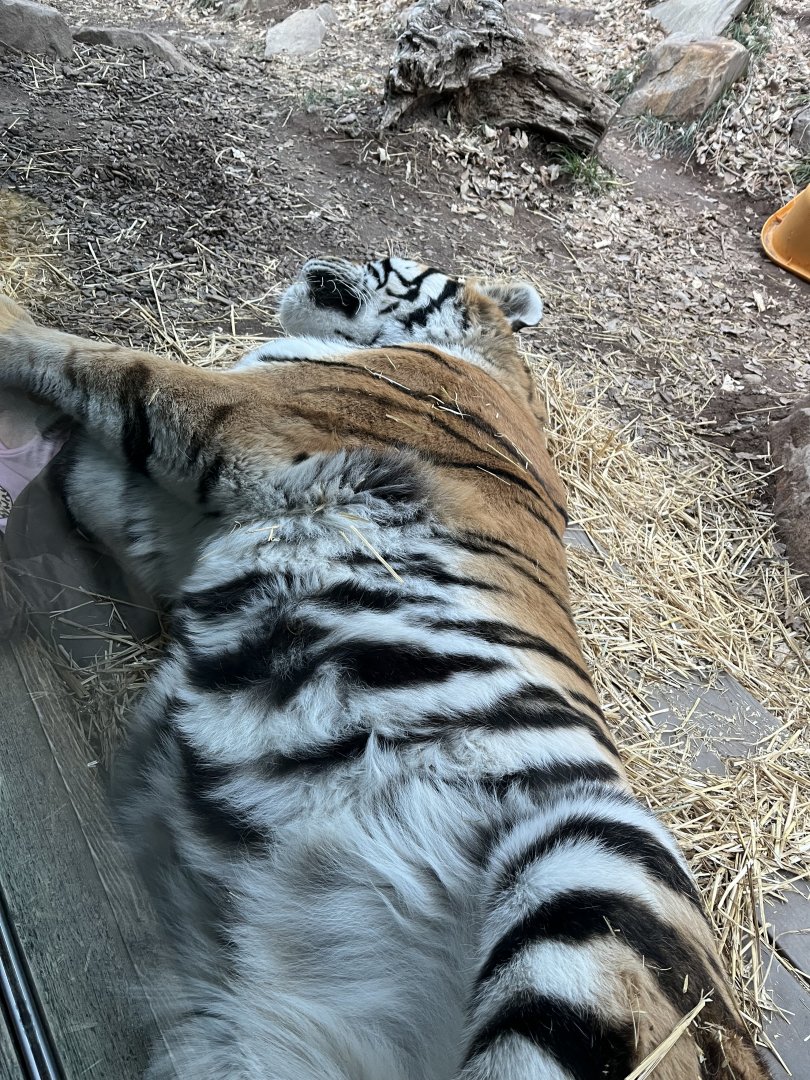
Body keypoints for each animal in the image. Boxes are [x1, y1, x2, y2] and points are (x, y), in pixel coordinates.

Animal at [0, 257, 770, 1080]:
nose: (317, 258)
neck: (493, 364)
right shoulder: (179, 528)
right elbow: (92, 488)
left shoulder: (244, 416)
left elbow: (103, 362)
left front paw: (12, 329)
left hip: (596, 875)